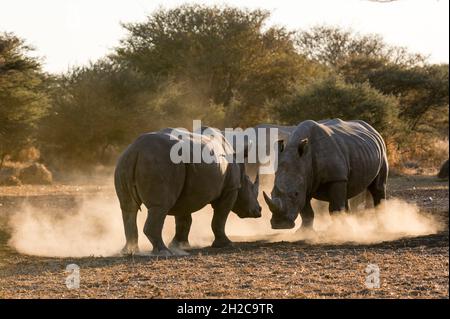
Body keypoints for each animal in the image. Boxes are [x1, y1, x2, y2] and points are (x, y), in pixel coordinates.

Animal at [114, 129, 262, 256]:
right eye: (250, 186)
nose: (259, 211)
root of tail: (136, 150)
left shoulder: (186, 193)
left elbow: (184, 220)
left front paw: (181, 245)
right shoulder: (231, 188)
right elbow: (220, 217)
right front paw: (226, 244)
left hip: (124, 162)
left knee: (128, 208)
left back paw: (129, 251)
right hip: (161, 162)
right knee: (160, 207)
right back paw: (164, 252)